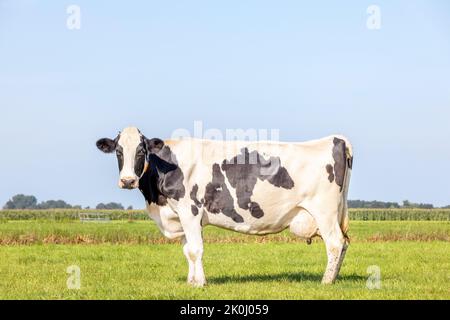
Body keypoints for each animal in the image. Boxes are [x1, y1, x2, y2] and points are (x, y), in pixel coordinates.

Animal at [96, 126, 354, 286]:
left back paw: (326, 282)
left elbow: (195, 249)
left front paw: (200, 283)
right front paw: (191, 281)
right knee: (343, 244)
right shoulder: (181, 216)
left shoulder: (190, 211)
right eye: (119, 151)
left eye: (142, 151)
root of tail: (335, 139)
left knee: (335, 243)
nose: (127, 180)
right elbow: (187, 250)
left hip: (324, 211)